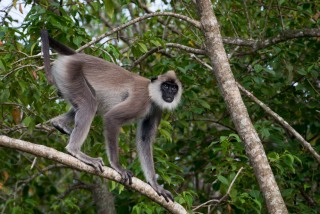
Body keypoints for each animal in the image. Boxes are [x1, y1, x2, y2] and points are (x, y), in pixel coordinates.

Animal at [39, 30, 182, 202]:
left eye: (173, 88)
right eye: (165, 86)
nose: (169, 94)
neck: (151, 91)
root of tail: (76, 56)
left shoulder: (156, 108)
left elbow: (144, 139)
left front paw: (155, 185)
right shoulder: (142, 99)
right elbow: (112, 118)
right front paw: (118, 167)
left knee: (89, 102)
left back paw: (58, 123)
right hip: (70, 72)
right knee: (89, 104)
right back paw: (75, 151)